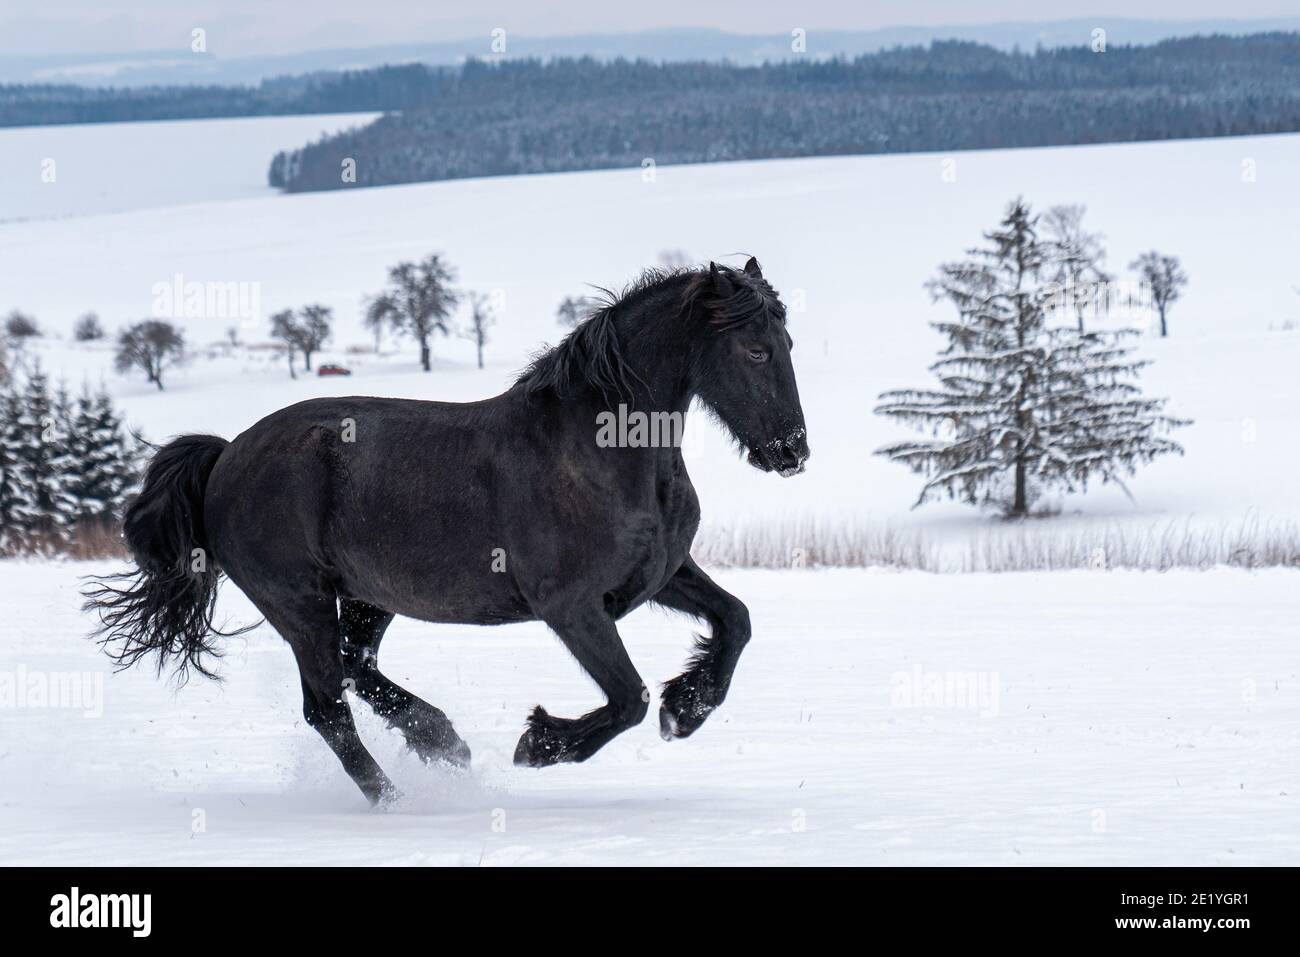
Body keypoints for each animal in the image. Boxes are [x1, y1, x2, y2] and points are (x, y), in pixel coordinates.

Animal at [85, 258, 810, 805]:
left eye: (788, 344)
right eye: (754, 348)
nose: (792, 452)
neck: (602, 451)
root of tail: (227, 455)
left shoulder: (662, 574)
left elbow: (736, 620)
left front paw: (686, 708)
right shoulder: (571, 606)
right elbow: (627, 698)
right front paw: (540, 742)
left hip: (367, 598)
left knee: (358, 670)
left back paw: (442, 742)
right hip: (299, 604)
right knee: (329, 708)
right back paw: (396, 800)